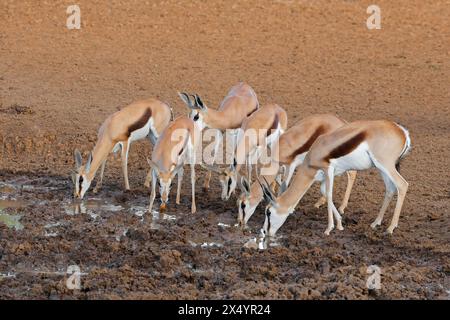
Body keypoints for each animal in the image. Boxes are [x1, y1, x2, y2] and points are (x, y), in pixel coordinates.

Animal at [260, 120, 412, 238]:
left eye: (268, 212)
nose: (265, 232)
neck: (314, 153)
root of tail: (402, 131)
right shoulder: (324, 176)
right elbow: (324, 193)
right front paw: (339, 224)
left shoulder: (328, 170)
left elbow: (329, 194)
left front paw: (328, 229)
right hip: (381, 168)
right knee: (390, 189)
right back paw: (375, 223)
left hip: (386, 165)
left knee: (402, 185)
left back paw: (390, 228)